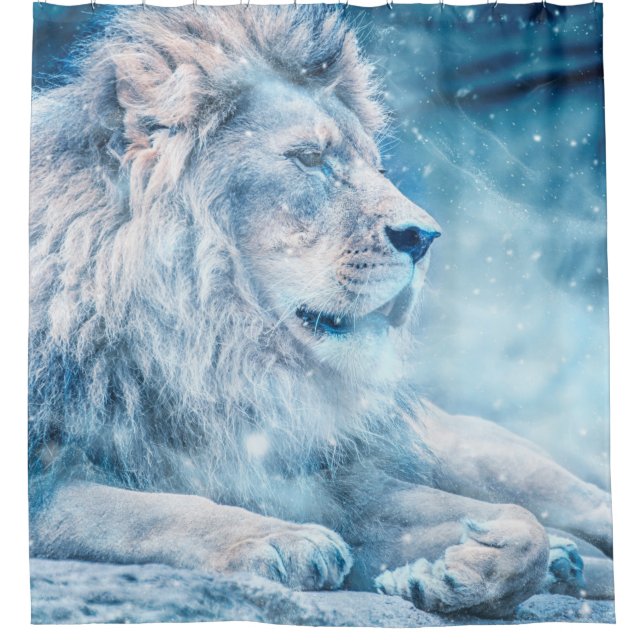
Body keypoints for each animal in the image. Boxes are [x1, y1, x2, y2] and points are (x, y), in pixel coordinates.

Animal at [29, 6, 613, 618]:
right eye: (310, 159)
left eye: (379, 169)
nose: (425, 237)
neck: (211, 358)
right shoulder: (41, 482)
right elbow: (145, 511)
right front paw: (279, 539)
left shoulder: (338, 482)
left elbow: (522, 526)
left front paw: (456, 573)